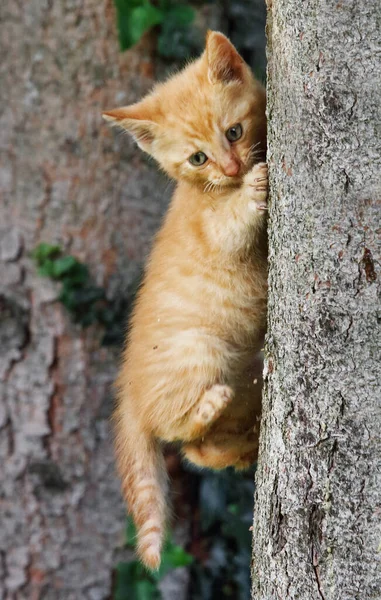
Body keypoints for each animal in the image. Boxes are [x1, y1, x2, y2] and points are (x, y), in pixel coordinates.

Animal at [102, 31, 266, 568]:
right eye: (198, 158)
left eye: (234, 132)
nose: (233, 166)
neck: (205, 191)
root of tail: (128, 390)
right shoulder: (216, 233)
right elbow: (233, 225)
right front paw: (254, 187)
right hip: (202, 349)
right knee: (181, 433)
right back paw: (208, 404)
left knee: (205, 454)